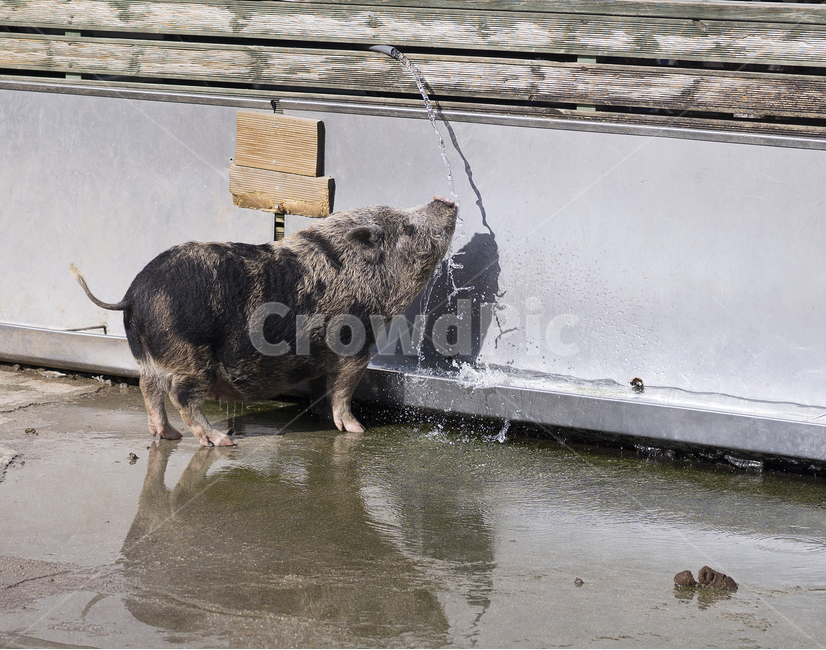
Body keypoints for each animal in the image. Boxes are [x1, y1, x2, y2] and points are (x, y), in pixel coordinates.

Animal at [71, 197, 457, 446]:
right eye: (407, 226)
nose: (446, 200)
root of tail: (135, 294)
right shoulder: (356, 343)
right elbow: (343, 389)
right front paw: (356, 429)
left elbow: (322, 386)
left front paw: (319, 417)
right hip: (190, 357)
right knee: (180, 394)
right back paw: (220, 441)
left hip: (147, 356)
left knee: (148, 389)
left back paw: (168, 436)